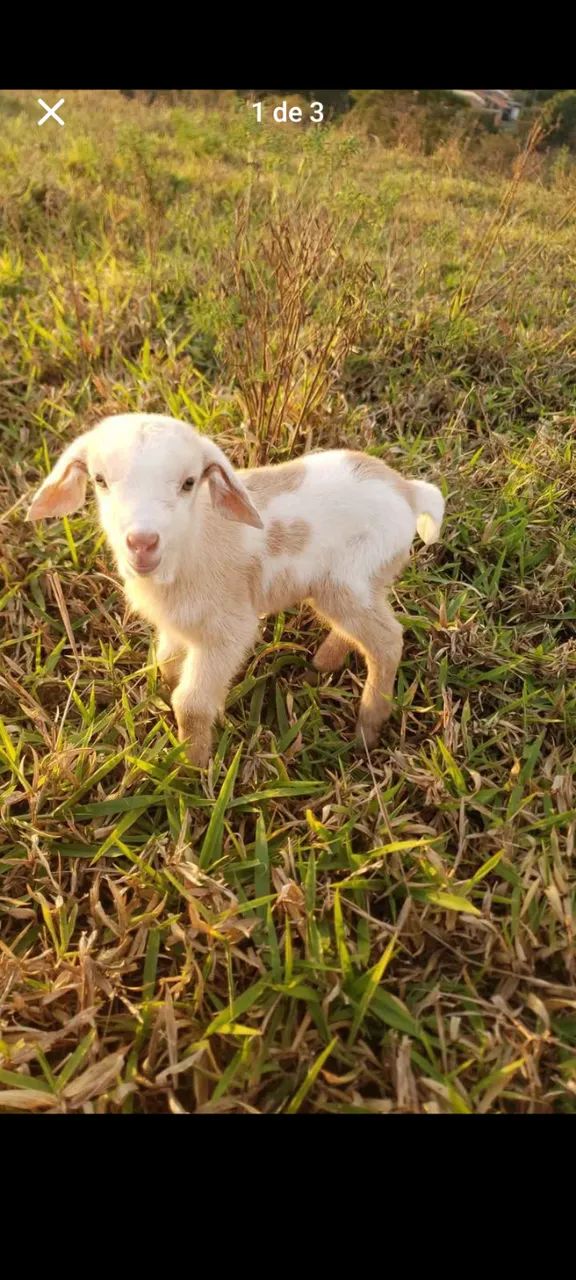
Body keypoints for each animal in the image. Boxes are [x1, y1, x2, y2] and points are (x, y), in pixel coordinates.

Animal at [27, 413, 445, 767]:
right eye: (99, 480)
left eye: (189, 483)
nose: (142, 543)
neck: (194, 542)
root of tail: (409, 490)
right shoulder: (178, 624)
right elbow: (166, 665)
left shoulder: (229, 630)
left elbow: (191, 704)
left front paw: (192, 769)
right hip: (351, 586)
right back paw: (322, 667)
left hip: (353, 579)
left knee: (387, 641)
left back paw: (367, 728)